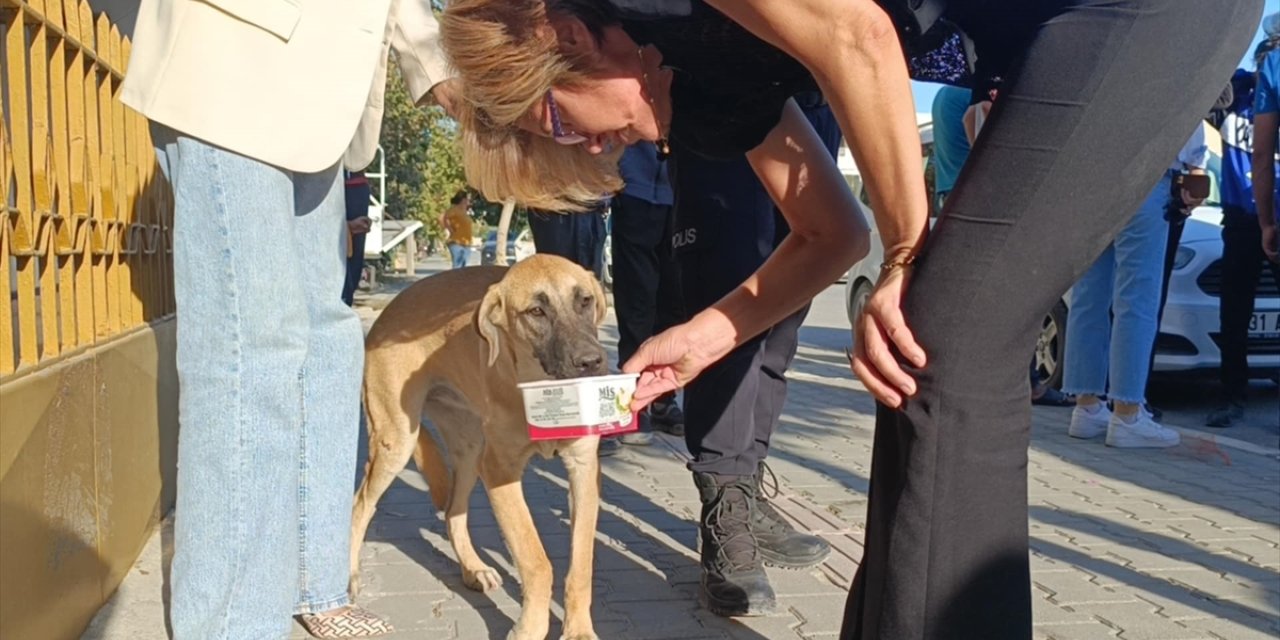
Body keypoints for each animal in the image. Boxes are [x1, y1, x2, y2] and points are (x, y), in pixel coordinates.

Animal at [350, 254, 609, 640]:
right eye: (536, 311)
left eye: (585, 301)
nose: (592, 362)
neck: (544, 391)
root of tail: (390, 310)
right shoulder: (501, 473)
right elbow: (536, 561)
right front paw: (530, 628)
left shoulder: (583, 469)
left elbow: (581, 565)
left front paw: (577, 629)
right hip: (395, 441)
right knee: (360, 505)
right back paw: (349, 576)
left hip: (469, 449)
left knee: (453, 513)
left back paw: (472, 568)